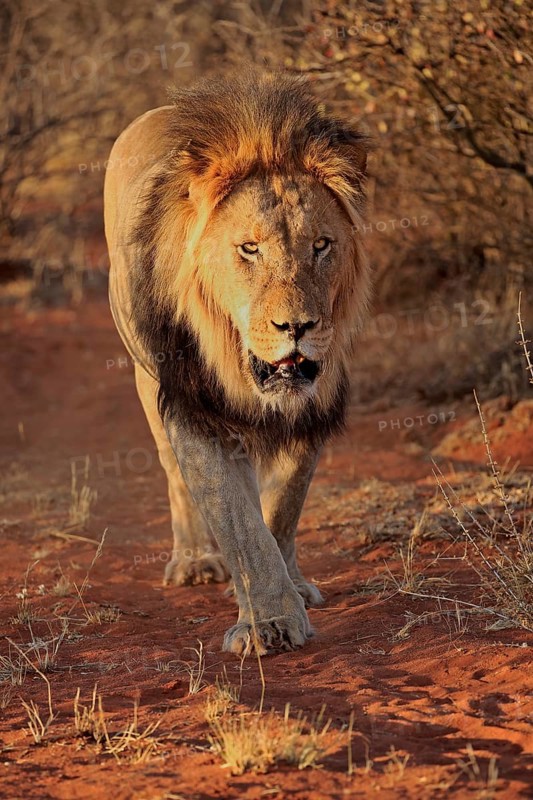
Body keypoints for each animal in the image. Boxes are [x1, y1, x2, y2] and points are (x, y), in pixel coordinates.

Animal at [104, 69, 371, 655]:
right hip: (146, 382)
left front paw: (287, 588)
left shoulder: (314, 403)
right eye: (249, 249)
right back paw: (196, 561)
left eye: (322, 245)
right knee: (176, 479)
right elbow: (239, 522)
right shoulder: (194, 409)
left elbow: (283, 508)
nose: (297, 327)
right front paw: (267, 621)